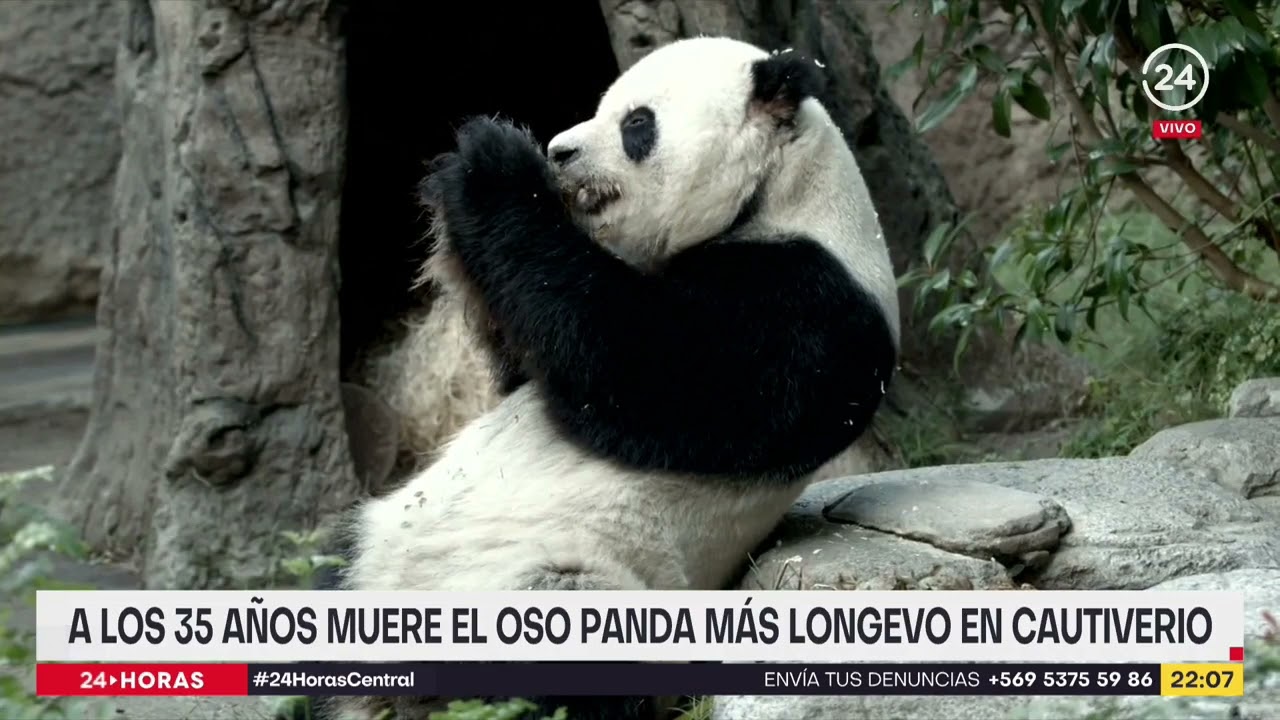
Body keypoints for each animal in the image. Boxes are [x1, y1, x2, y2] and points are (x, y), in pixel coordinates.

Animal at [317, 35, 900, 720]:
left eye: (636, 124)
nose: (560, 152)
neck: (783, 193)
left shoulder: (809, 307)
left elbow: (638, 369)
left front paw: (490, 161)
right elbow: (532, 353)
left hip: (567, 582)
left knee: (555, 658)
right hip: (377, 537)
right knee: (331, 560)